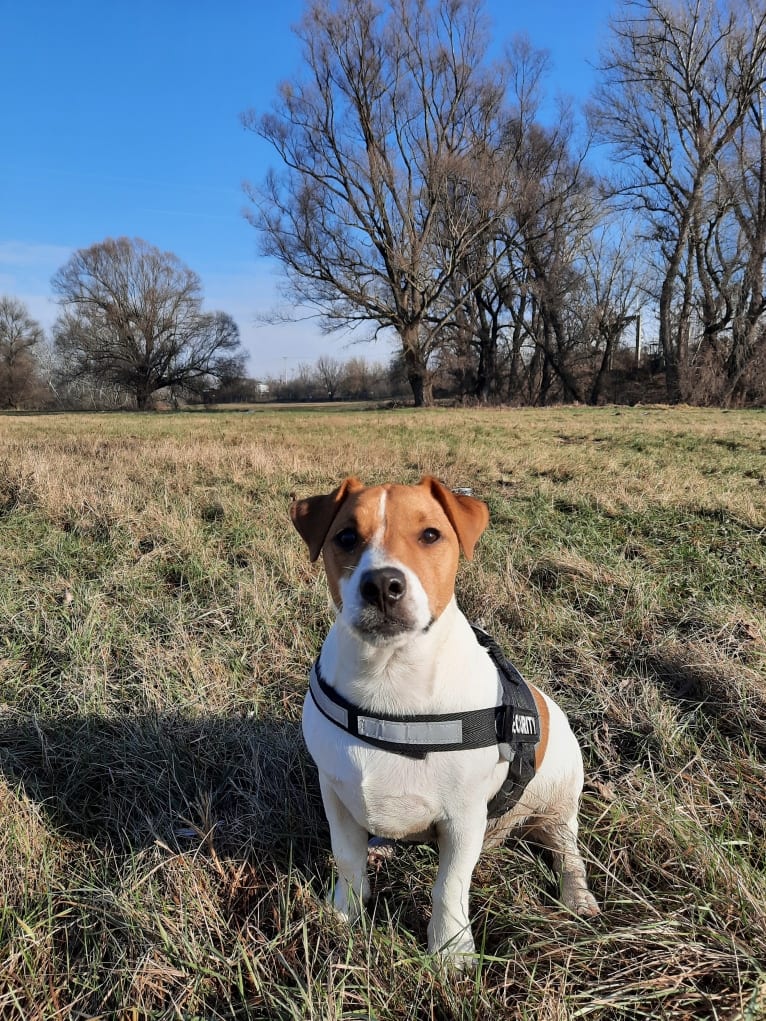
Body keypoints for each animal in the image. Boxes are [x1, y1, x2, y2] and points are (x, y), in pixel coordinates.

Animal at [290, 473, 604, 959]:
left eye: (431, 535)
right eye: (345, 537)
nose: (382, 585)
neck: (390, 674)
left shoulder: (462, 819)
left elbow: (449, 886)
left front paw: (450, 952)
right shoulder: (336, 795)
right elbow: (347, 859)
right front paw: (344, 915)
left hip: (557, 800)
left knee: (567, 850)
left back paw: (578, 897)